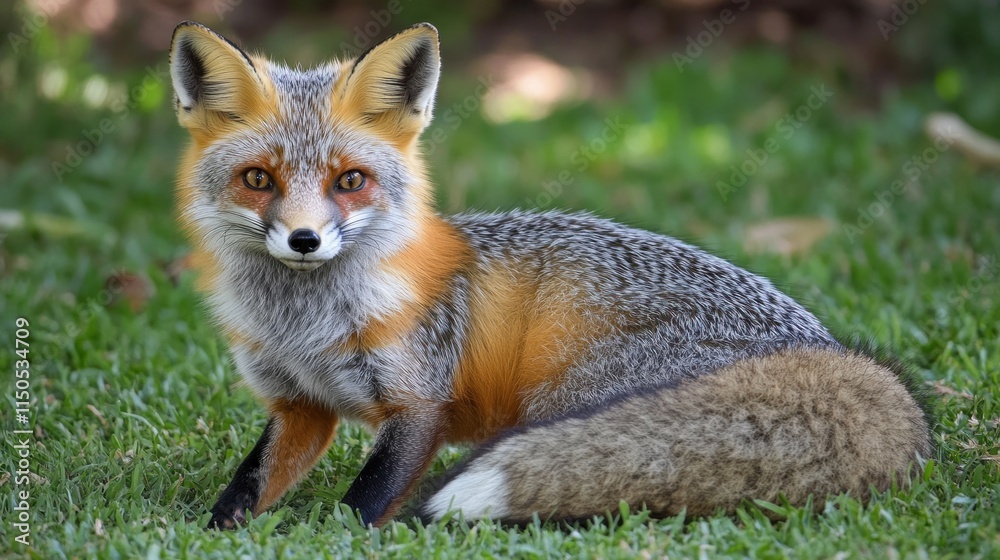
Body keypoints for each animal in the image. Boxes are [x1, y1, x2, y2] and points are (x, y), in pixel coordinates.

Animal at [168, 21, 932, 528]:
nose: (304, 240)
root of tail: (823, 349)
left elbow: (362, 506)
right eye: (258, 179)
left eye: (349, 181)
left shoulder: (419, 403)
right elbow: (246, 488)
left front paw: (331, 540)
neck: (304, 326)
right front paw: (213, 536)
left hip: (563, 403)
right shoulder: (300, 406)